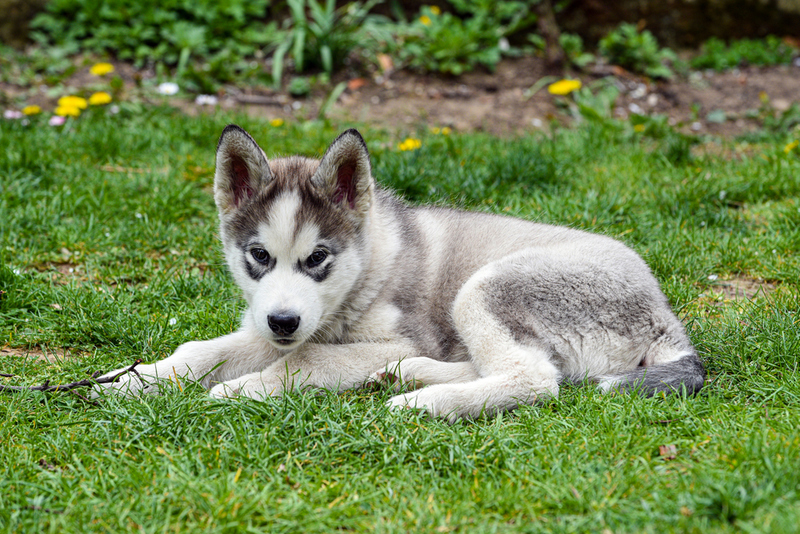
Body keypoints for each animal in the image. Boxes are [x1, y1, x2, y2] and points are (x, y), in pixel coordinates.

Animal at [95, 125, 708, 422]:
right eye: (259, 256)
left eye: (317, 258)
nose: (284, 321)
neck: (367, 270)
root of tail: (663, 315)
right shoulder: (269, 323)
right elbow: (204, 350)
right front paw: (135, 379)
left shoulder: (395, 334)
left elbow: (309, 359)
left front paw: (245, 388)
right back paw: (408, 376)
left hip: (485, 288)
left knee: (536, 378)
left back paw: (423, 402)